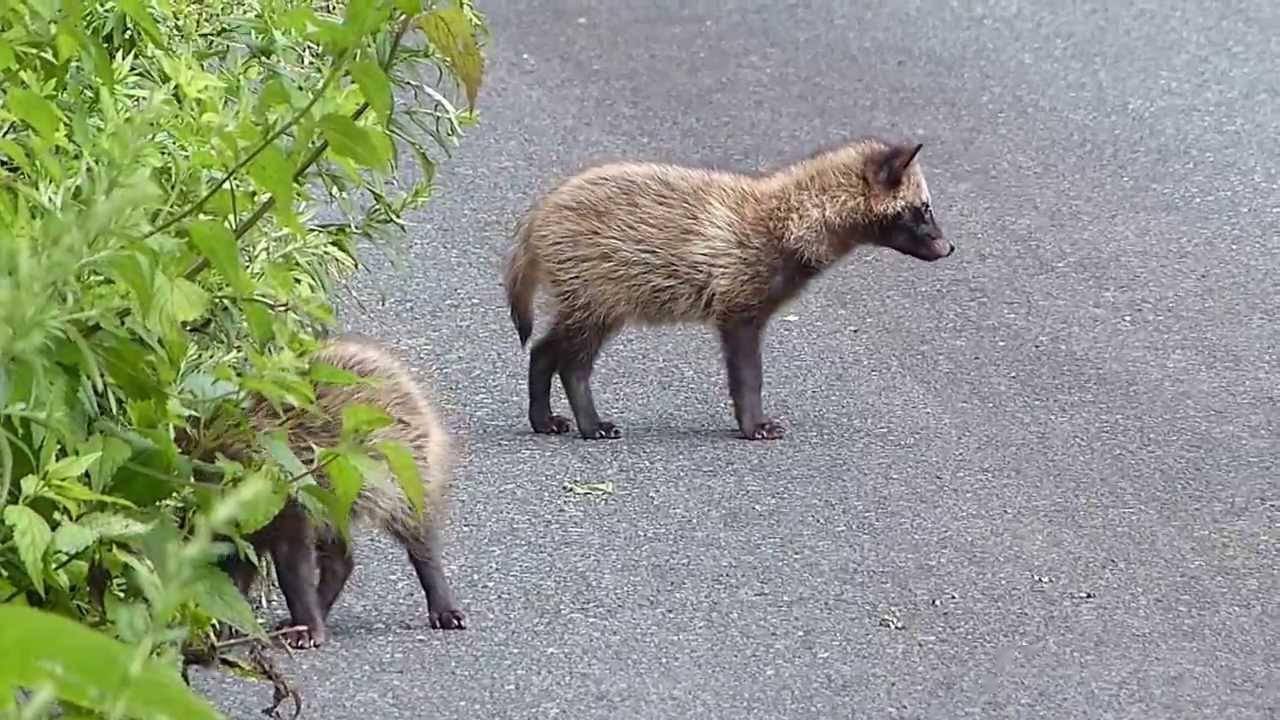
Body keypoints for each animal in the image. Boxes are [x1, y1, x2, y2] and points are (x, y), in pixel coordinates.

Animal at [222, 333, 468, 648]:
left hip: (402, 465)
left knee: (415, 528)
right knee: (340, 554)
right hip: (337, 497)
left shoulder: (285, 493)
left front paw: (306, 620)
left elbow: (293, 562)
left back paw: (436, 588)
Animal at [499, 133, 952, 438]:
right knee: (573, 360)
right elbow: (747, 372)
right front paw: (753, 422)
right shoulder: (739, 296)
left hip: (587, 292)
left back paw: (543, 416)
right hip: (598, 285)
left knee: (544, 349)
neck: (794, 215)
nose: (949, 247)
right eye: (924, 208)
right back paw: (590, 421)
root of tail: (540, 213)